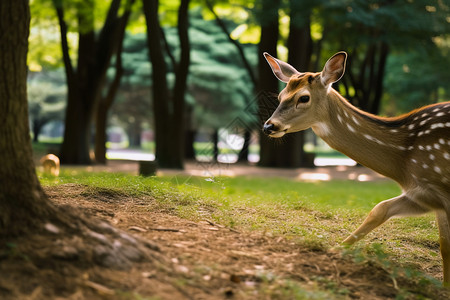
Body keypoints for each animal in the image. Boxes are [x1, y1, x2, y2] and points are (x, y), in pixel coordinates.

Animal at [262, 51, 450, 284]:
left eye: (304, 97)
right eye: (280, 96)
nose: (269, 126)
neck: (405, 163)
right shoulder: (424, 195)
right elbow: (382, 210)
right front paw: (334, 249)